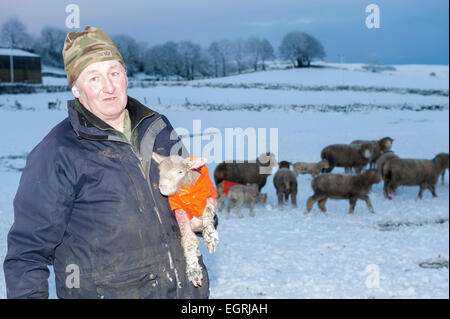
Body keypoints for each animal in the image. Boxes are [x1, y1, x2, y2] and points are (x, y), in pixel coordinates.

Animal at [152, 152, 219, 288]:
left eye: (180, 172)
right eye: (160, 171)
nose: (163, 186)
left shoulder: (208, 197)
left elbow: (208, 212)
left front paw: (210, 237)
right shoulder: (180, 210)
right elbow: (189, 240)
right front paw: (194, 270)